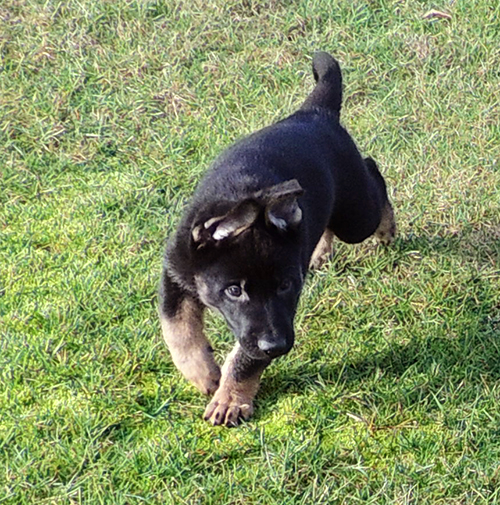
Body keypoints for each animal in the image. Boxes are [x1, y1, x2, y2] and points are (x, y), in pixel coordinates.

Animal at [158, 53, 396, 426]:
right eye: (234, 290)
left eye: (285, 285)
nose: (278, 347)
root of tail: (313, 113)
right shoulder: (175, 275)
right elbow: (177, 329)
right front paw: (203, 373)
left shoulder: (277, 318)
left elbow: (245, 358)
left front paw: (230, 398)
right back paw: (321, 250)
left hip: (357, 217)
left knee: (372, 172)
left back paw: (386, 230)